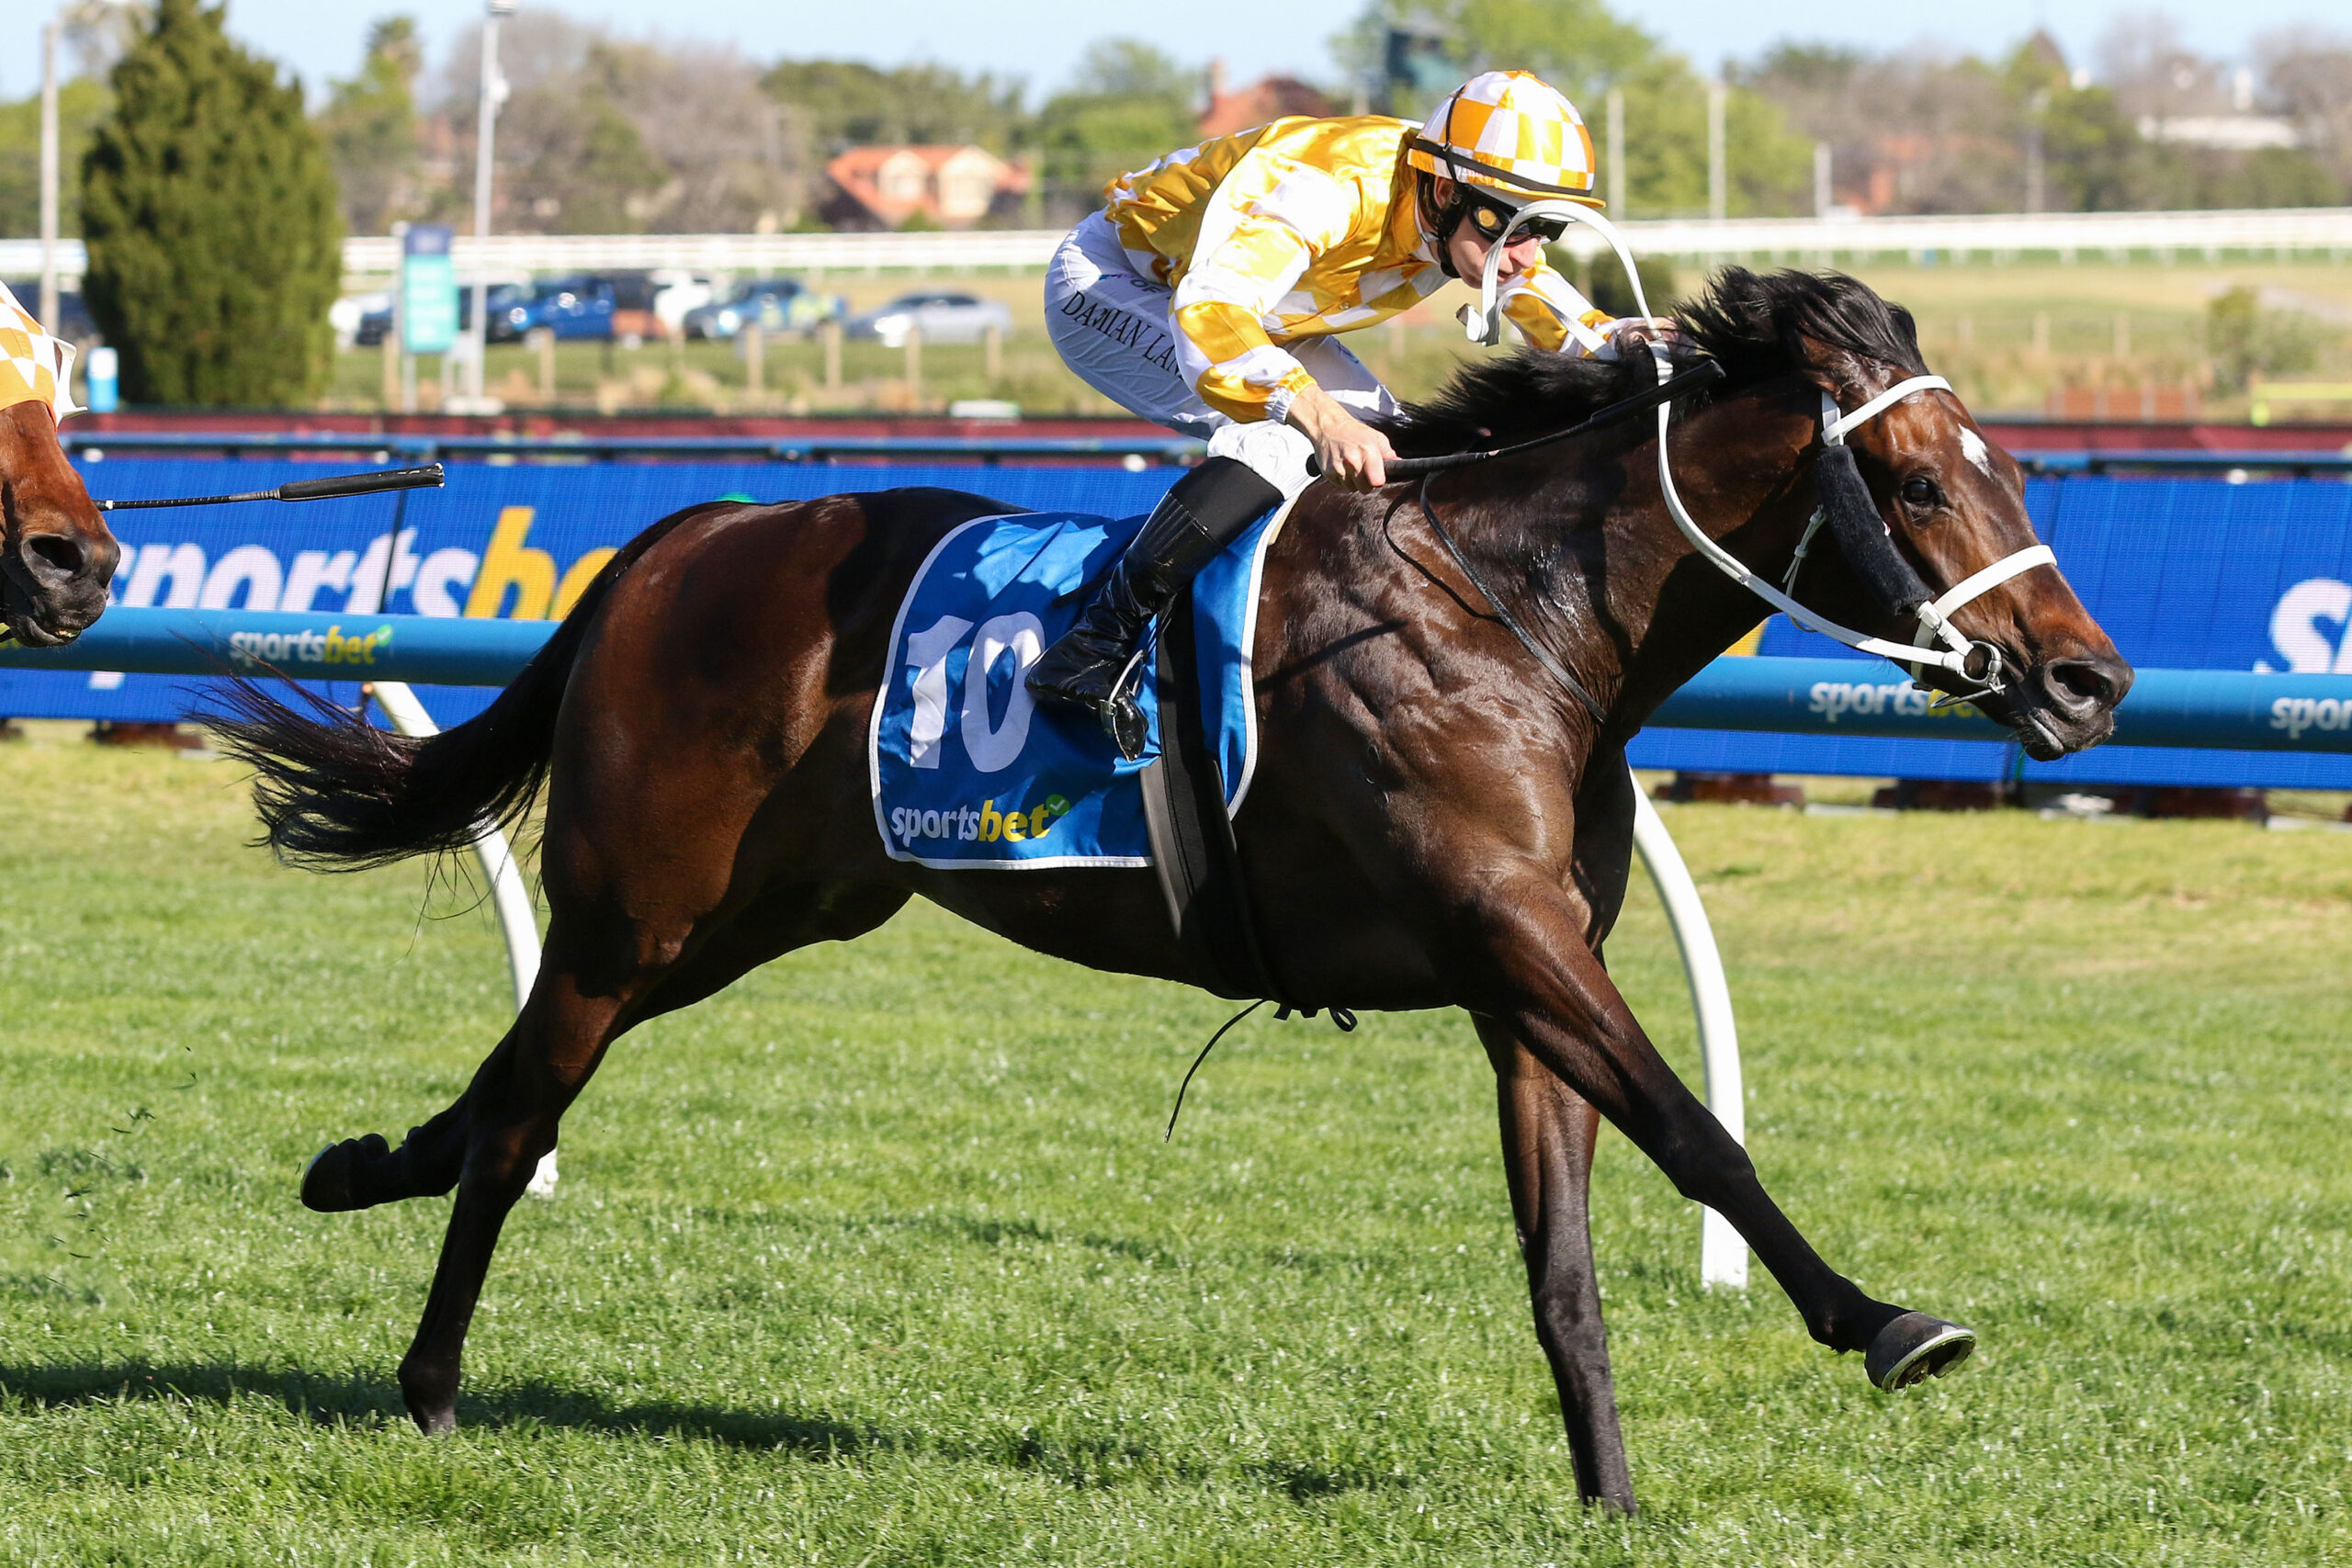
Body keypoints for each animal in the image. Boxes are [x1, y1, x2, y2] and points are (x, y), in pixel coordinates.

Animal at [217, 269, 2130, 1511]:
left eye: (2013, 469)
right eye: (1914, 481)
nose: (2091, 682)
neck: (1520, 613)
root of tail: (676, 539)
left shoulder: (1521, 978)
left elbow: (1569, 1255)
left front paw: (1610, 1495)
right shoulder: (1506, 931)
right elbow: (1699, 1131)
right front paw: (1886, 1323)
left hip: (774, 908)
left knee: (505, 1088)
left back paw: (358, 1168)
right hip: (646, 909)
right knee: (530, 1101)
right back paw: (429, 1385)